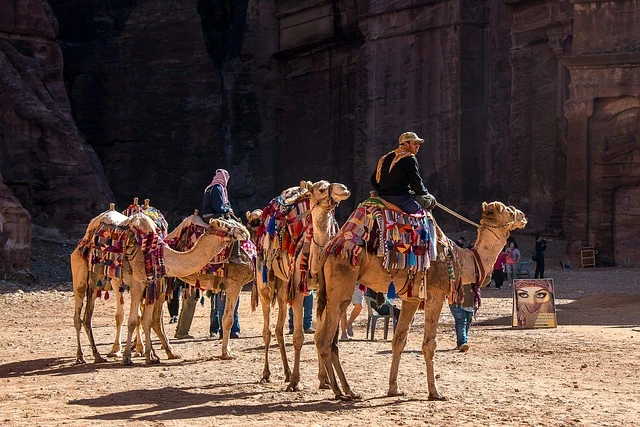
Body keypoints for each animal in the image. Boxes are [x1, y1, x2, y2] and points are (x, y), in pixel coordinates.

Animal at [72, 209, 249, 365]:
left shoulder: (151, 285)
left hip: (97, 278)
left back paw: (98, 356)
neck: (159, 252)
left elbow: (147, 320)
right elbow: (133, 321)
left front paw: (151, 357)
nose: (245, 233)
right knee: (78, 314)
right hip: (80, 270)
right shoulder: (138, 284)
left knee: (88, 316)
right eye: (227, 226)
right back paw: (81, 356)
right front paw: (128, 357)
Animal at [256, 180, 351, 391]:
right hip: (264, 282)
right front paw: (295, 381)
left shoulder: (321, 291)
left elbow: (317, 337)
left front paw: (323, 380)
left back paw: (286, 372)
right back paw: (267, 373)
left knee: (278, 329)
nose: (344, 189)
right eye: (321, 189)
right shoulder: (299, 293)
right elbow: (298, 337)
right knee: (267, 330)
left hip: (284, 286)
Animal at [314, 201, 527, 400]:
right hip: (341, 287)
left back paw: (347, 390)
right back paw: (338, 391)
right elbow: (429, 344)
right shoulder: (435, 294)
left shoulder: (411, 299)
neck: (461, 259)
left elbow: (399, 340)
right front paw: (435, 392)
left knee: (325, 340)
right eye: (509, 211)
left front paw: (394, 389)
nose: (522, 216)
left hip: (328, 294)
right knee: (325, 340)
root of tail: (329, 251)